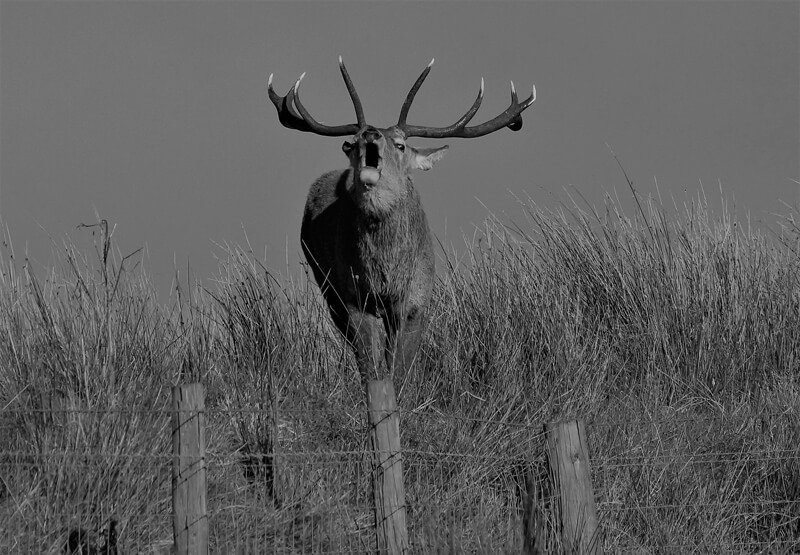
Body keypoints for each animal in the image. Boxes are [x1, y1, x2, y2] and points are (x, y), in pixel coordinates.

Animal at [268, 58, 535, 386]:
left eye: (400, 144)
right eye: (352, 143)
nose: (370, 133)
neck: (388, 272)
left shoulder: (415, 301)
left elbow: (402, 367)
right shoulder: (354, 297)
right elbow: (371, 364)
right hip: (327, 285)